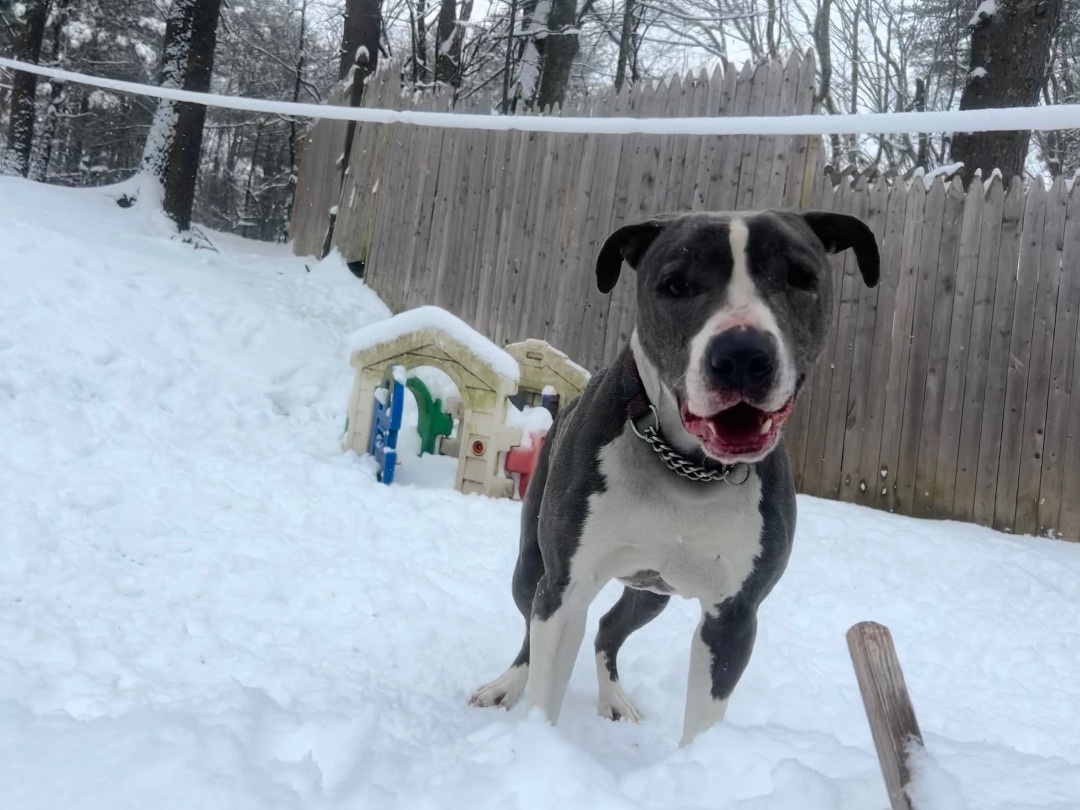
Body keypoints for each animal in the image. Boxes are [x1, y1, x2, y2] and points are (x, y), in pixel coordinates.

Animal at [470, 209, 876, 747]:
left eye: (799, 277)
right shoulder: (567, 587)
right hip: (532, 568)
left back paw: (615, 700)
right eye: (677, 285)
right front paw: (540, 746)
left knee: (608, 628)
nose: (743, 354)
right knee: (529, 633)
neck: (689, 468)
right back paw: (505, 686)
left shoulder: (733, 614)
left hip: (650, 594)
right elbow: (545, 679)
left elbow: (703, 719)